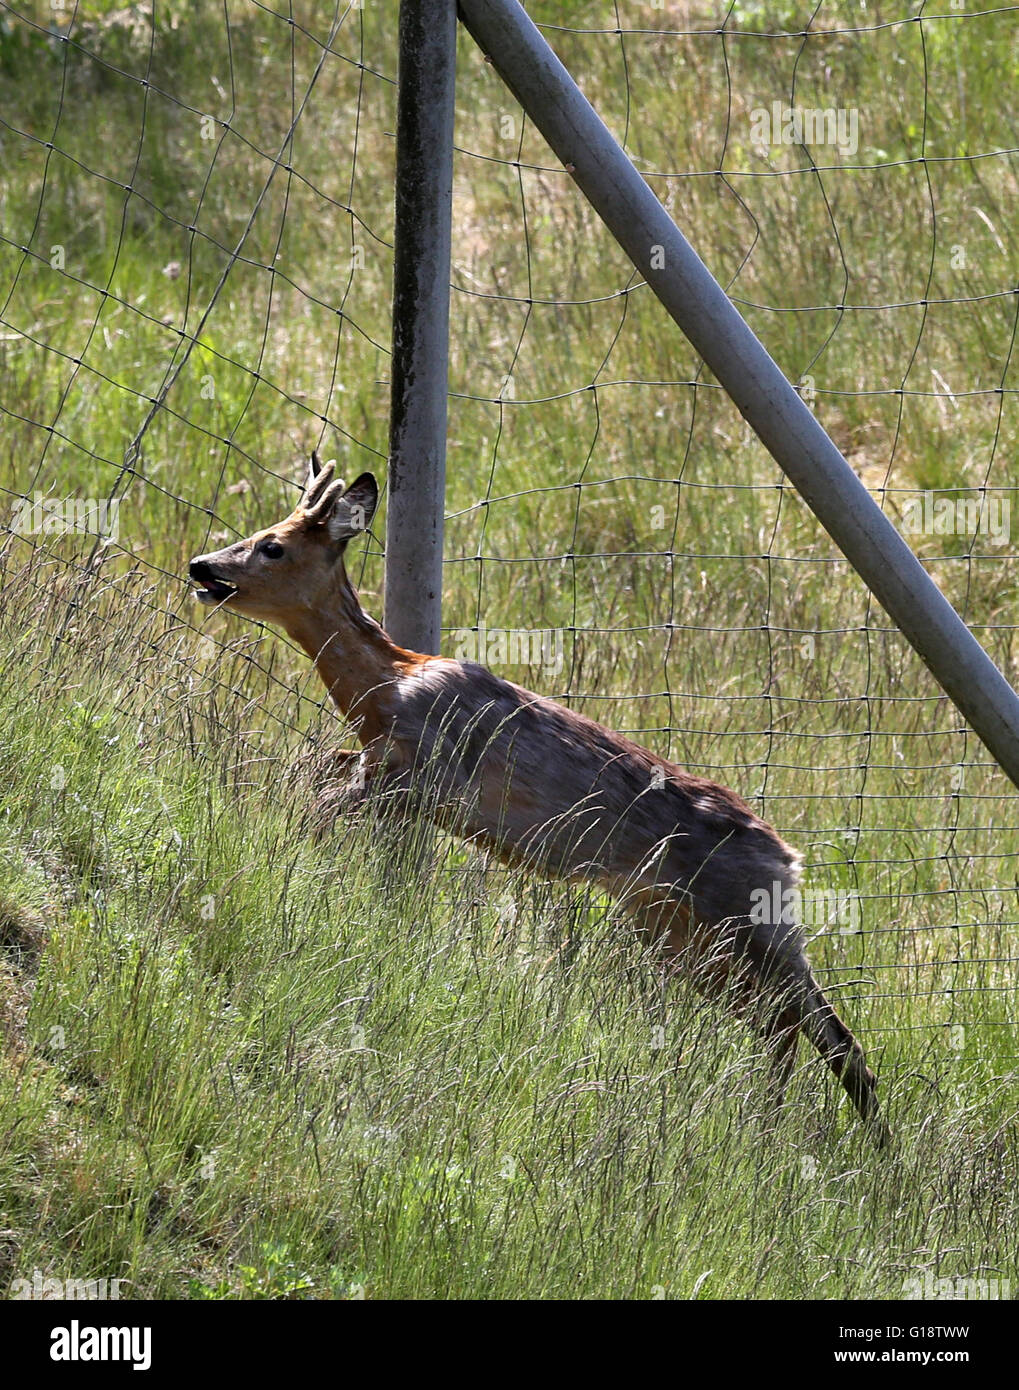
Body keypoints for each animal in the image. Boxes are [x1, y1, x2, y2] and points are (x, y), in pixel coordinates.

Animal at [189, 454, 892, 1147]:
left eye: (272, 546)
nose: (201, 567)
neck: (385, 687)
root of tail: (788, 855)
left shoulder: (420, 775)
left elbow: (317, 803)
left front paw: (276, 856)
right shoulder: (385, 769)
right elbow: (310, 772)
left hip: (737, 919)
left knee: (807, 1026)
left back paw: (803, 1130)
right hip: (678, 927)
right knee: (798, 1024)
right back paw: (829, 1133)